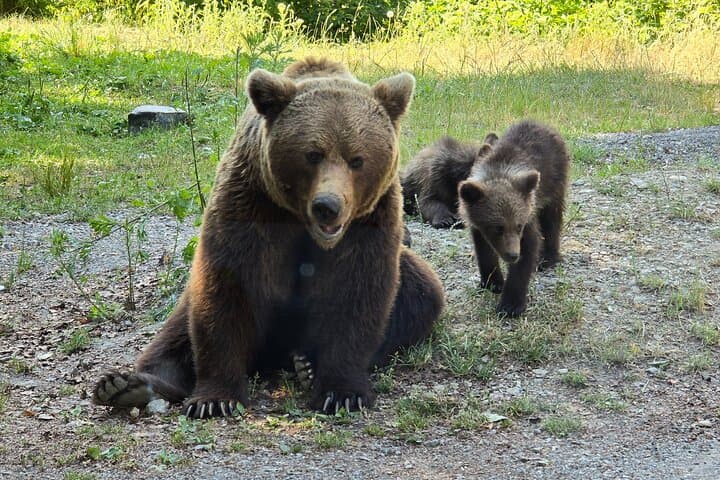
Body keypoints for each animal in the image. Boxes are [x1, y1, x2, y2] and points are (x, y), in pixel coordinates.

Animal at [92, 57, 445, 418]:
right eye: (312, 154)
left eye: (357, 159)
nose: (327, 206)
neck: (301, 220)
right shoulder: (251, 204)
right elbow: (227, 290)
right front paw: (214, 398)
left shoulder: (369, 222)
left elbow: (357, 290)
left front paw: (341, 392)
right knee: (178, 328)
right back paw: (127, 385)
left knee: (421, 292)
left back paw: (307, 365)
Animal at [458, 120, 569, 317]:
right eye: (497, 227)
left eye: (518, 226)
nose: (512, 254)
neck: (498, 172)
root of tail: (543, 124)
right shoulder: (476, 223)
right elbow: (484, 250)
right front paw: (492, 282)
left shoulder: (528, 214)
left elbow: (528, 249)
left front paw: (510, 305)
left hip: (555, 181)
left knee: (552, 219)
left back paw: (548, 258)